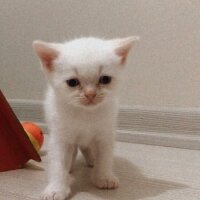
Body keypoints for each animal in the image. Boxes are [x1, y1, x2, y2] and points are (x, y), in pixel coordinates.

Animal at [33, 36, 138, 200]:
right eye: (72, 82)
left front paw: (104, 177)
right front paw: (56, 188)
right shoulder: (61, 137)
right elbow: (58, 163)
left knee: (87, 146)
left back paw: (92, 160)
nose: (90, 94)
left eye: (105, 79)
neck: (86, 114)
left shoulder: (105, 134)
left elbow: (105, 157)